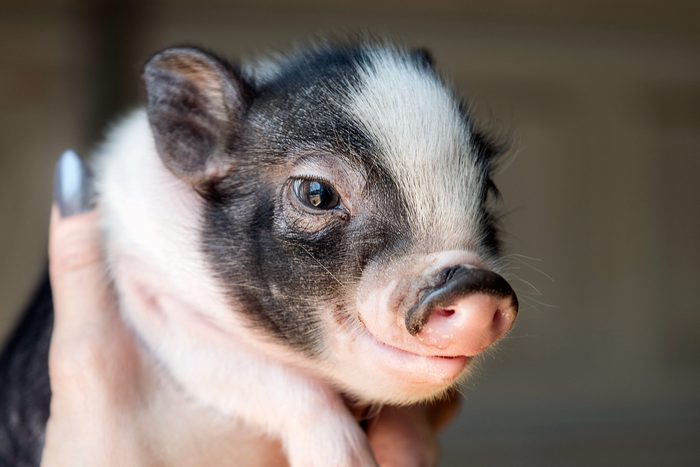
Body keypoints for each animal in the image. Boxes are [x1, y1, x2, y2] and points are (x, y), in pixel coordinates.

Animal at [0, 41, 518, 466]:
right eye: (316, 194)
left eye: (488, 189)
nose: (474, 282)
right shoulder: (148, 295)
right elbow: (265, 376)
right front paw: (343, 459)